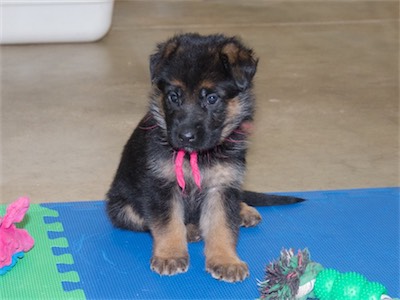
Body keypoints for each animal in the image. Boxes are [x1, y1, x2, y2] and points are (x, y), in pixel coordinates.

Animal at [106, 34, 304, 282]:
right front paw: (170, 255)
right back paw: (191, 229)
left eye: (211, 98)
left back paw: (243, 210)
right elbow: (168, 223)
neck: (197, 156)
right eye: (173, 97)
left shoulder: (222, 186)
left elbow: (222, 225)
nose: (185, 136)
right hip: (122, 207)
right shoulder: (161, 186)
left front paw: (226, 260)